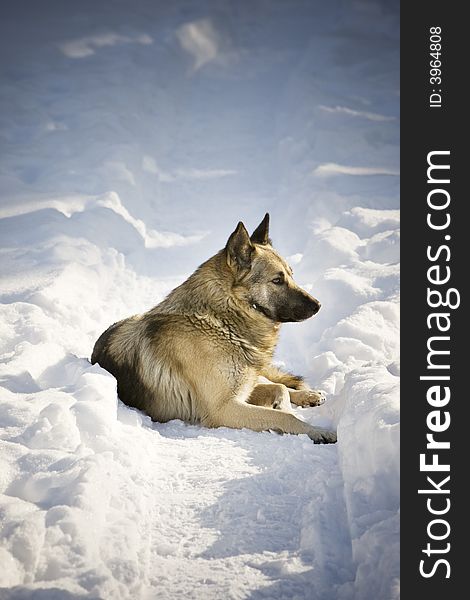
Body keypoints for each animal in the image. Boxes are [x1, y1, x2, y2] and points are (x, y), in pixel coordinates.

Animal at [90, 213, 336, 442]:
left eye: (292, 275)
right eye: (277, 280)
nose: (319, 305)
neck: (222, 322)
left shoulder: (239, 393)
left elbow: (280, 391)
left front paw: (290, 406)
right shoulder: (224, 408)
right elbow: (285, 415)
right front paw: (316, 430)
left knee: (277, 383)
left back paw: (309, 394)